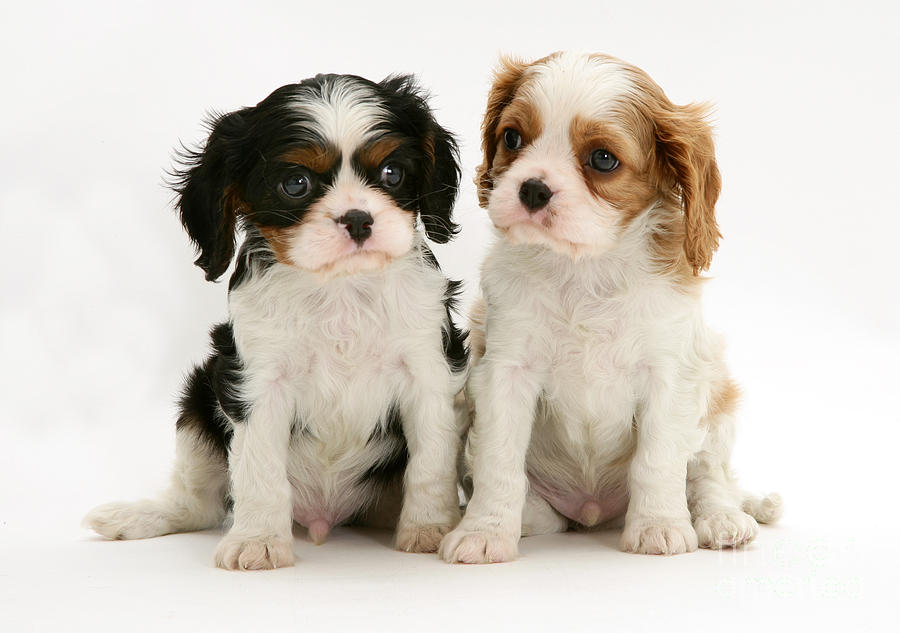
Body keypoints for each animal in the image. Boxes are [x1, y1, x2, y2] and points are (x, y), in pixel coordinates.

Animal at [82, 73, 472, 568]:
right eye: (295, 183)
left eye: (392, 174)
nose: (358, 219)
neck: (340, 289)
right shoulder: (256, 381)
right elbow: (259, 466)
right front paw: (258, 541)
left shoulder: (429, 370)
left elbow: (431, 459)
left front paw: (429, 530)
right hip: (199, 398)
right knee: (198, 504)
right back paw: (135, 517)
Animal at [442, 53, 780, 564]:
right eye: (512, 138)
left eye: (603, 159)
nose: (532, 189)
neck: (586, 267)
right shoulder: (504, 369)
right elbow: (499, 460)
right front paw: (484, 532)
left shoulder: (670, 374)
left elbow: (658, 459)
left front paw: (659, 527)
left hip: (717, 397)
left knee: (710, 476)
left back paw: (721, 520)